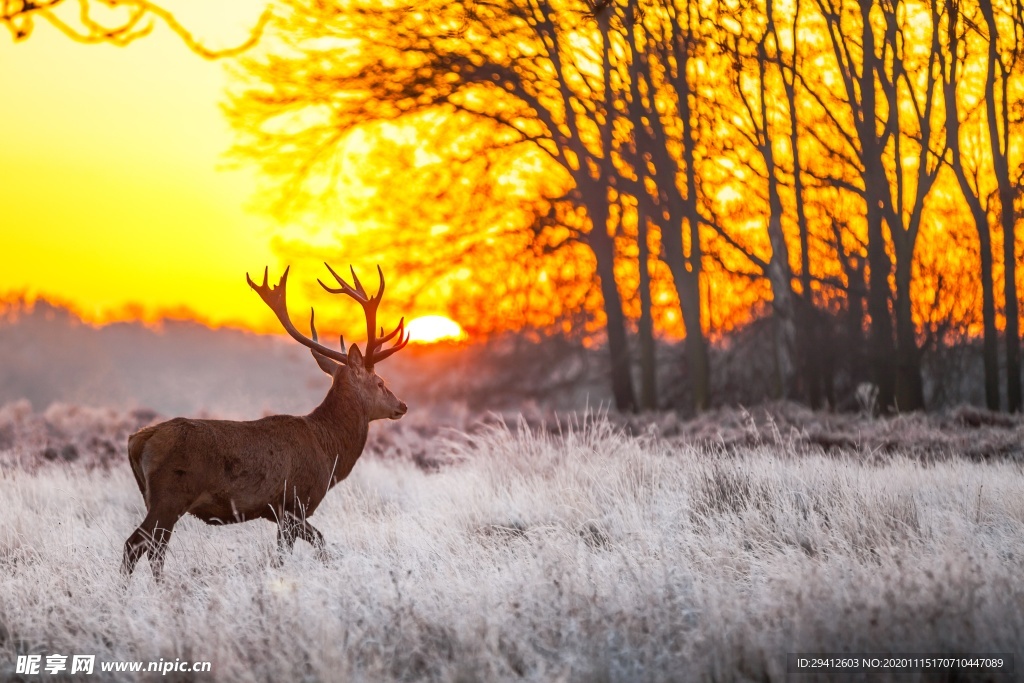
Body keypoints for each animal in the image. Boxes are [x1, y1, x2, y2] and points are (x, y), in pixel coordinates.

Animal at [120, 264, 407, 581]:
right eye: (380, 382)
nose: (402, 406)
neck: (328, 450)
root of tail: (137, 440)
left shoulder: (281, 512)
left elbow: (294, 551)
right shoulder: (294, 503)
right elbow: (313, 544)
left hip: (153, 497)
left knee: (151, 548)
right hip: (170, 496)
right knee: (139, 545)